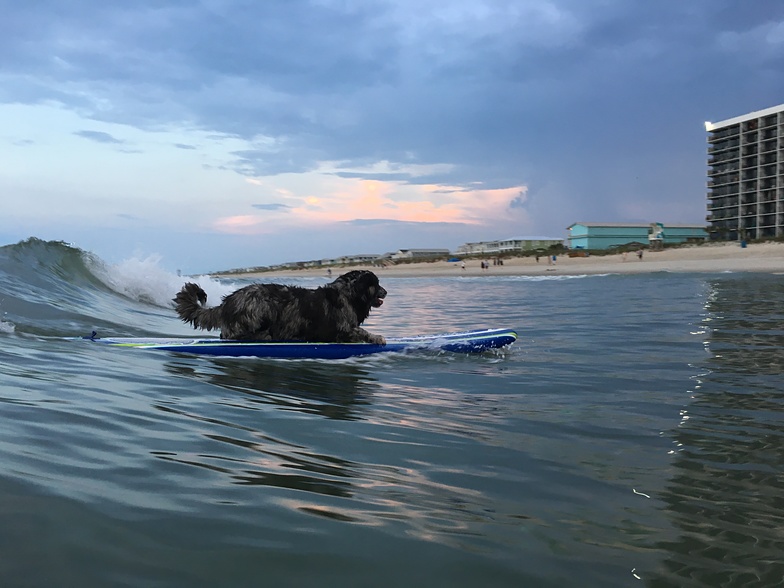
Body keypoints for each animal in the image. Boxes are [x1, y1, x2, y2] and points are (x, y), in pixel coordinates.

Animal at [175, 272, 388, 344]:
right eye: (377, 284)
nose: (386, 292)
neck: (349, 292)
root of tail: (227, 302)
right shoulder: (343, 328)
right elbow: (360, 331)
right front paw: (378, 337)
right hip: (258, 307)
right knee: (233, 335)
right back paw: (264, 336)